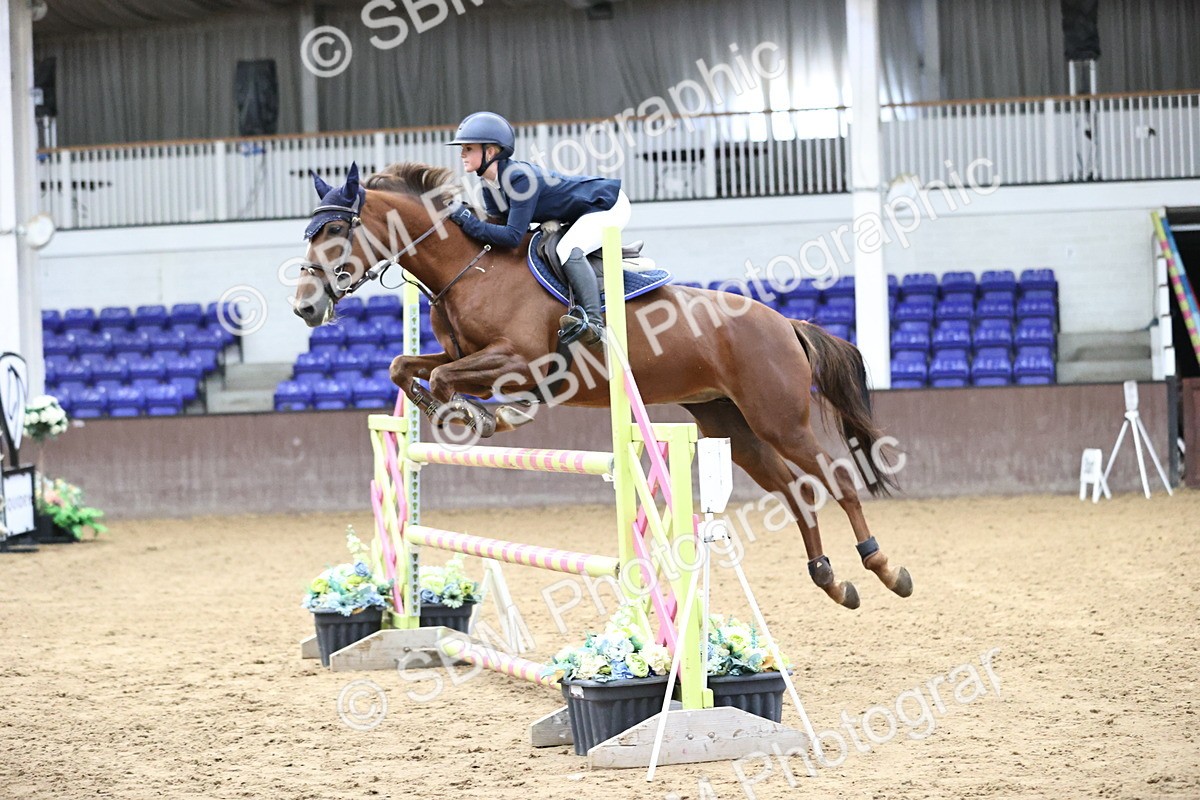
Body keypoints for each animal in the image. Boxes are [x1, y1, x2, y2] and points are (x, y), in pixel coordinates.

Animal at [292, 161, 912, 609]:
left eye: (337, 230)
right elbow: (405, 365)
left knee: (837, 478)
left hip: (779, 418)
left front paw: (480, 415)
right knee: (794, 490)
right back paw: (831, 580)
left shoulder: (519, 360)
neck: (469, 268)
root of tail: (784, 321)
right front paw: (462, 412)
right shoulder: (463, 354)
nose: (305, 307)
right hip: (729, 422)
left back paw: (884, 568)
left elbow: (446, 377)